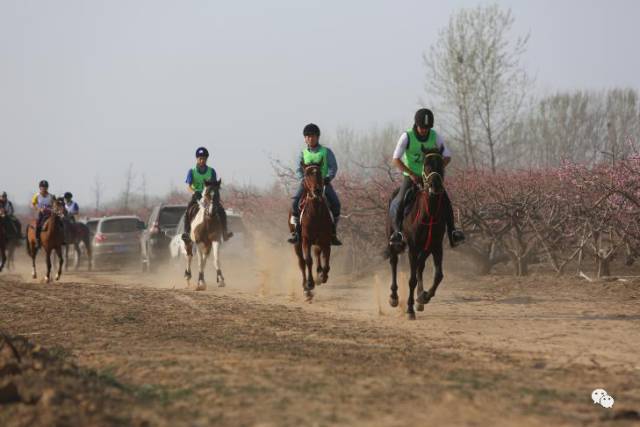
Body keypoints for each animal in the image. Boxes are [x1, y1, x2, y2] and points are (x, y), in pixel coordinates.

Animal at [288, 162, 332, 302]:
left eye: (319, 173)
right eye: (306, 174)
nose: (317, 190)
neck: (316, 213)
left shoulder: (326, 240)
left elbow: (326, 259)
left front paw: (322, 276)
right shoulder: (306, 240)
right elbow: (308, 260)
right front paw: (310, 284)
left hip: (317, 241)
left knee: (317, 253)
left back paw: (319, 274)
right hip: (297, 244)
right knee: (301, 262)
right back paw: (306, 288)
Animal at [384, 149, 444, 320]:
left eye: (441, 164)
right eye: (426, 164)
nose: (435, 185)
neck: (429, 214)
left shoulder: (436, 246)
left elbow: (438, 275)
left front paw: (424, 297)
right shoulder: (413, 248)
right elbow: (411, 280)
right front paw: (410, 309)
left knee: (420, 267)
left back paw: (420, 298)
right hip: (393, 238)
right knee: (394, 261)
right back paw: (394, 297)